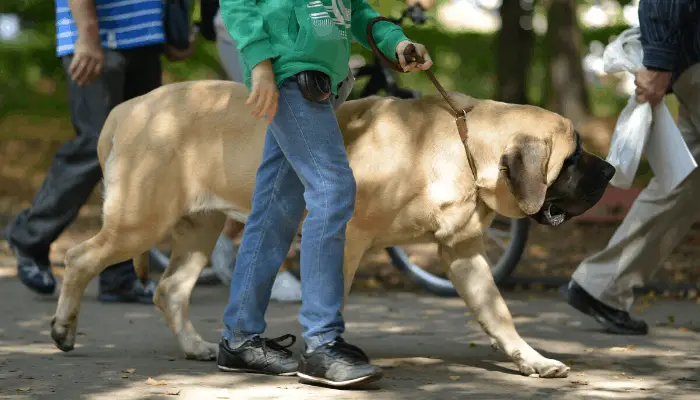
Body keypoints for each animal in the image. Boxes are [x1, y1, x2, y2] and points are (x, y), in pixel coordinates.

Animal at [49, 80, 616, 378]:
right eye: (573, 157)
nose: (611, 171)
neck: (462, 143)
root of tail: (126, 109)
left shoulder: (463, 253)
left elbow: (498, 313)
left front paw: (532, 360)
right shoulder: (347, 238)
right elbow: (332, 296)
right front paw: (324, 356)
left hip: (197, 230)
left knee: (169, 289)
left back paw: (196, 347)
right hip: (141, 221)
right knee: (79, 258)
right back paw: (62, 329)